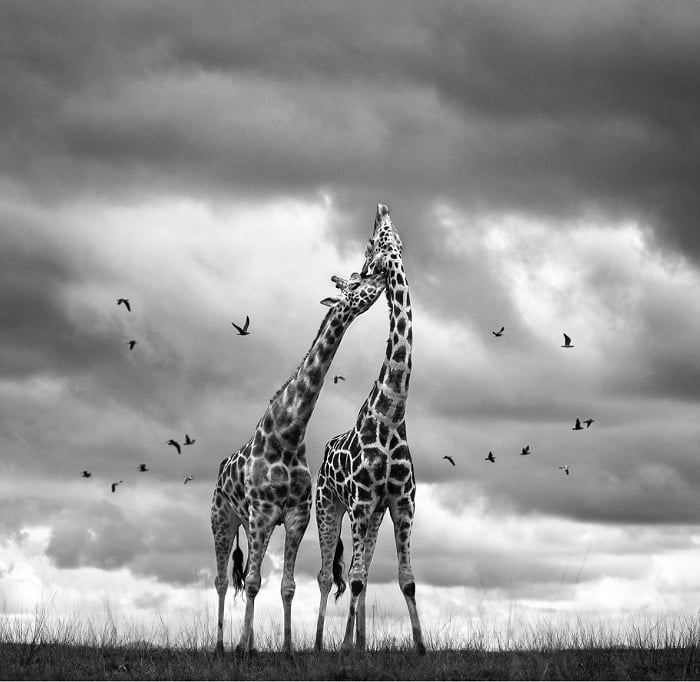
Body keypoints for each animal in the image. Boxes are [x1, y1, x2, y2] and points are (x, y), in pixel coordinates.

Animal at [210, 270, 386, 656]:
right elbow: (254, 582)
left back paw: (247, 643)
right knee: (221, 580)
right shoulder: (262, 514)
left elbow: (286, 586)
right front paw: (242, 651)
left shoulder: (295, 515)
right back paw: (221, 646)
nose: (381, 275)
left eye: (360, 275)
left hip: (247, 524)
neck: (288, 434)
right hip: (223, 519)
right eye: (354, 283)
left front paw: (288, 650)